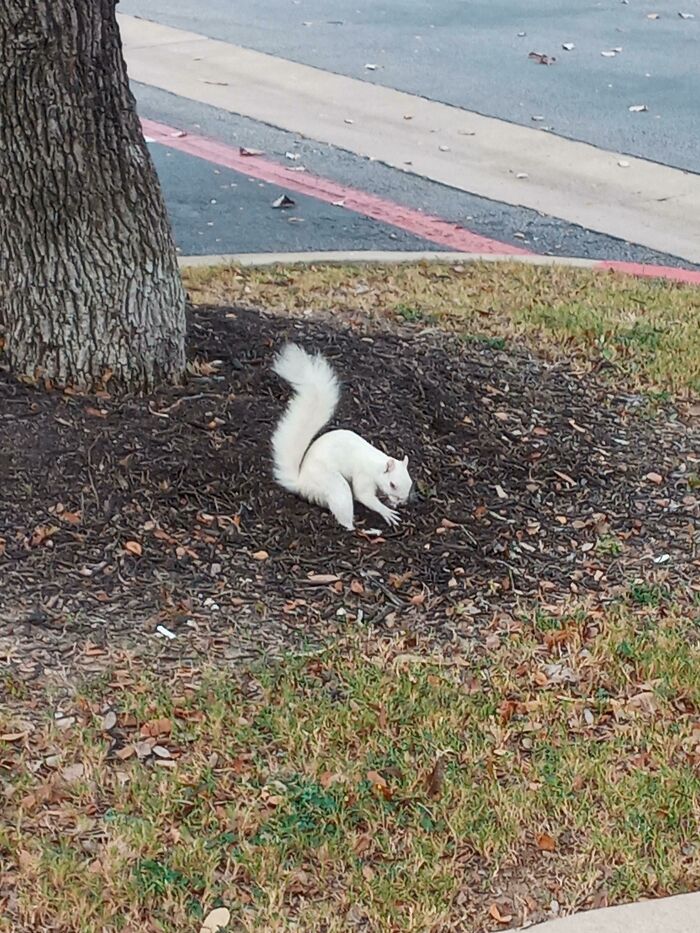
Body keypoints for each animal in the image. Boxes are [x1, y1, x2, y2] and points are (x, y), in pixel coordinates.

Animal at [271, 343, 413, 530]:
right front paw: (387, 512)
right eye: (392, 484)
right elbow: (363, 495)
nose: (401, 501)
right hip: (334, 485)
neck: (376, 464)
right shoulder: (364, 475)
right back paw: (358, 528)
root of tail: (301, 483)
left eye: (410, 484)